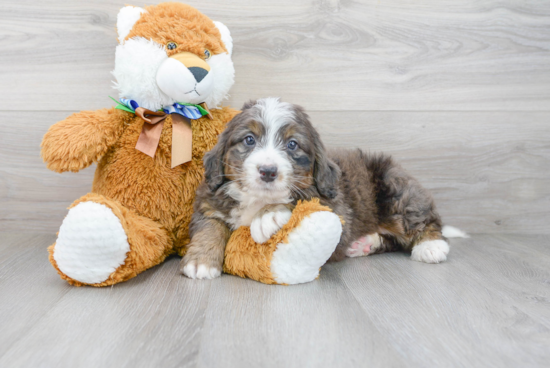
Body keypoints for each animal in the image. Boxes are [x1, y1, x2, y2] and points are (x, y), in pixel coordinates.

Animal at [181, 98, 458, 278]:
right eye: (249, 139)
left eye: (292, 145)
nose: (268, 171)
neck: (257, 199)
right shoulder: (209, 203)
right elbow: (209, 228)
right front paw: (201, 261)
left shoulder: (338, 207)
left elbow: (302, 197)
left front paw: (269, 215)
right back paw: (366, 244)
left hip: (396, 192)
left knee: (424, 221)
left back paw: (431, 246)